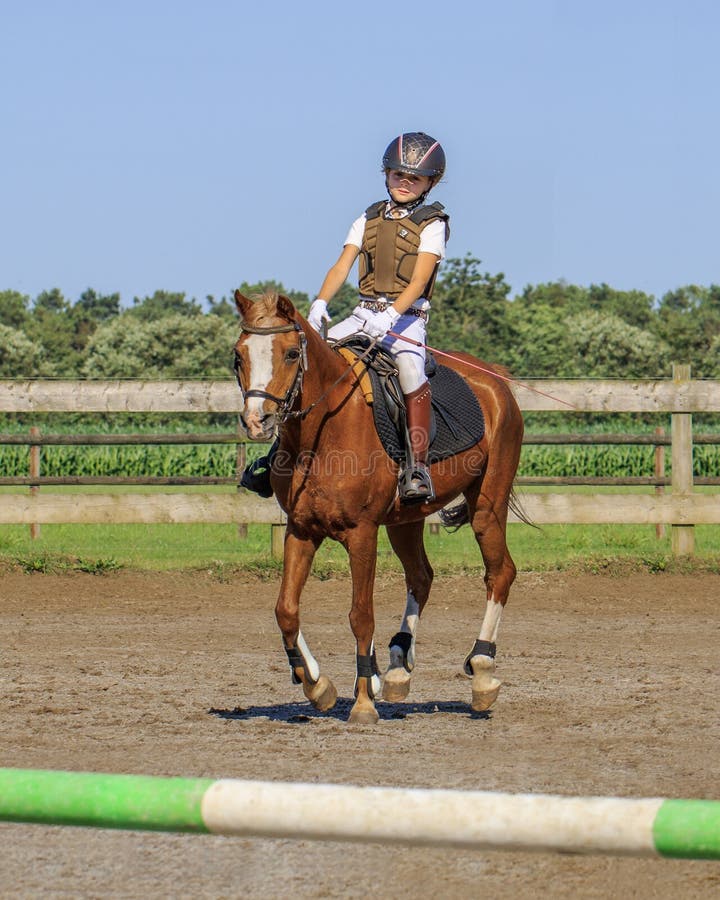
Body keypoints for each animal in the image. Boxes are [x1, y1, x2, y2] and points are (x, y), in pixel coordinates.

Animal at [236, 290, 524, 724]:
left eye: (290, 353)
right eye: (239, 356)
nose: (259, 420)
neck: (322, 431)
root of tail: (493, 377)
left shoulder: (362, 532)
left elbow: (360, 615)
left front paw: (362, 702)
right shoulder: (301, 530)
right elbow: (285, 609)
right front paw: (317, 683)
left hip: (487, 504)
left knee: (499, 573)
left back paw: (482, 670)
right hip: (406, 518)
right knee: (421, 576)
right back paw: (398, 667)